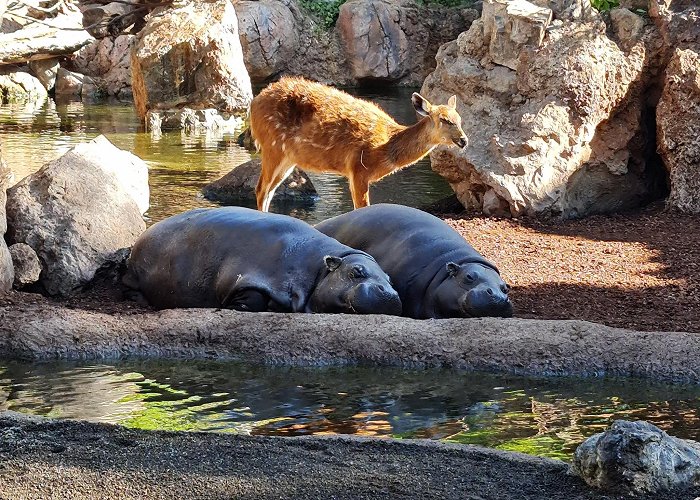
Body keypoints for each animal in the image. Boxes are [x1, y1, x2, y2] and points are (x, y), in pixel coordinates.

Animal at [249, 76, 468, 211]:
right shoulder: (359, 168)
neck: (386, 147)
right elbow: (362, 207)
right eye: (445, 120)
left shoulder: (352, 173)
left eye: (459, 119)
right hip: (272, 146)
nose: (464, 140)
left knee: (269, 191)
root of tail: (254, 104)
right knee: (261, 189)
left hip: (288, 158)